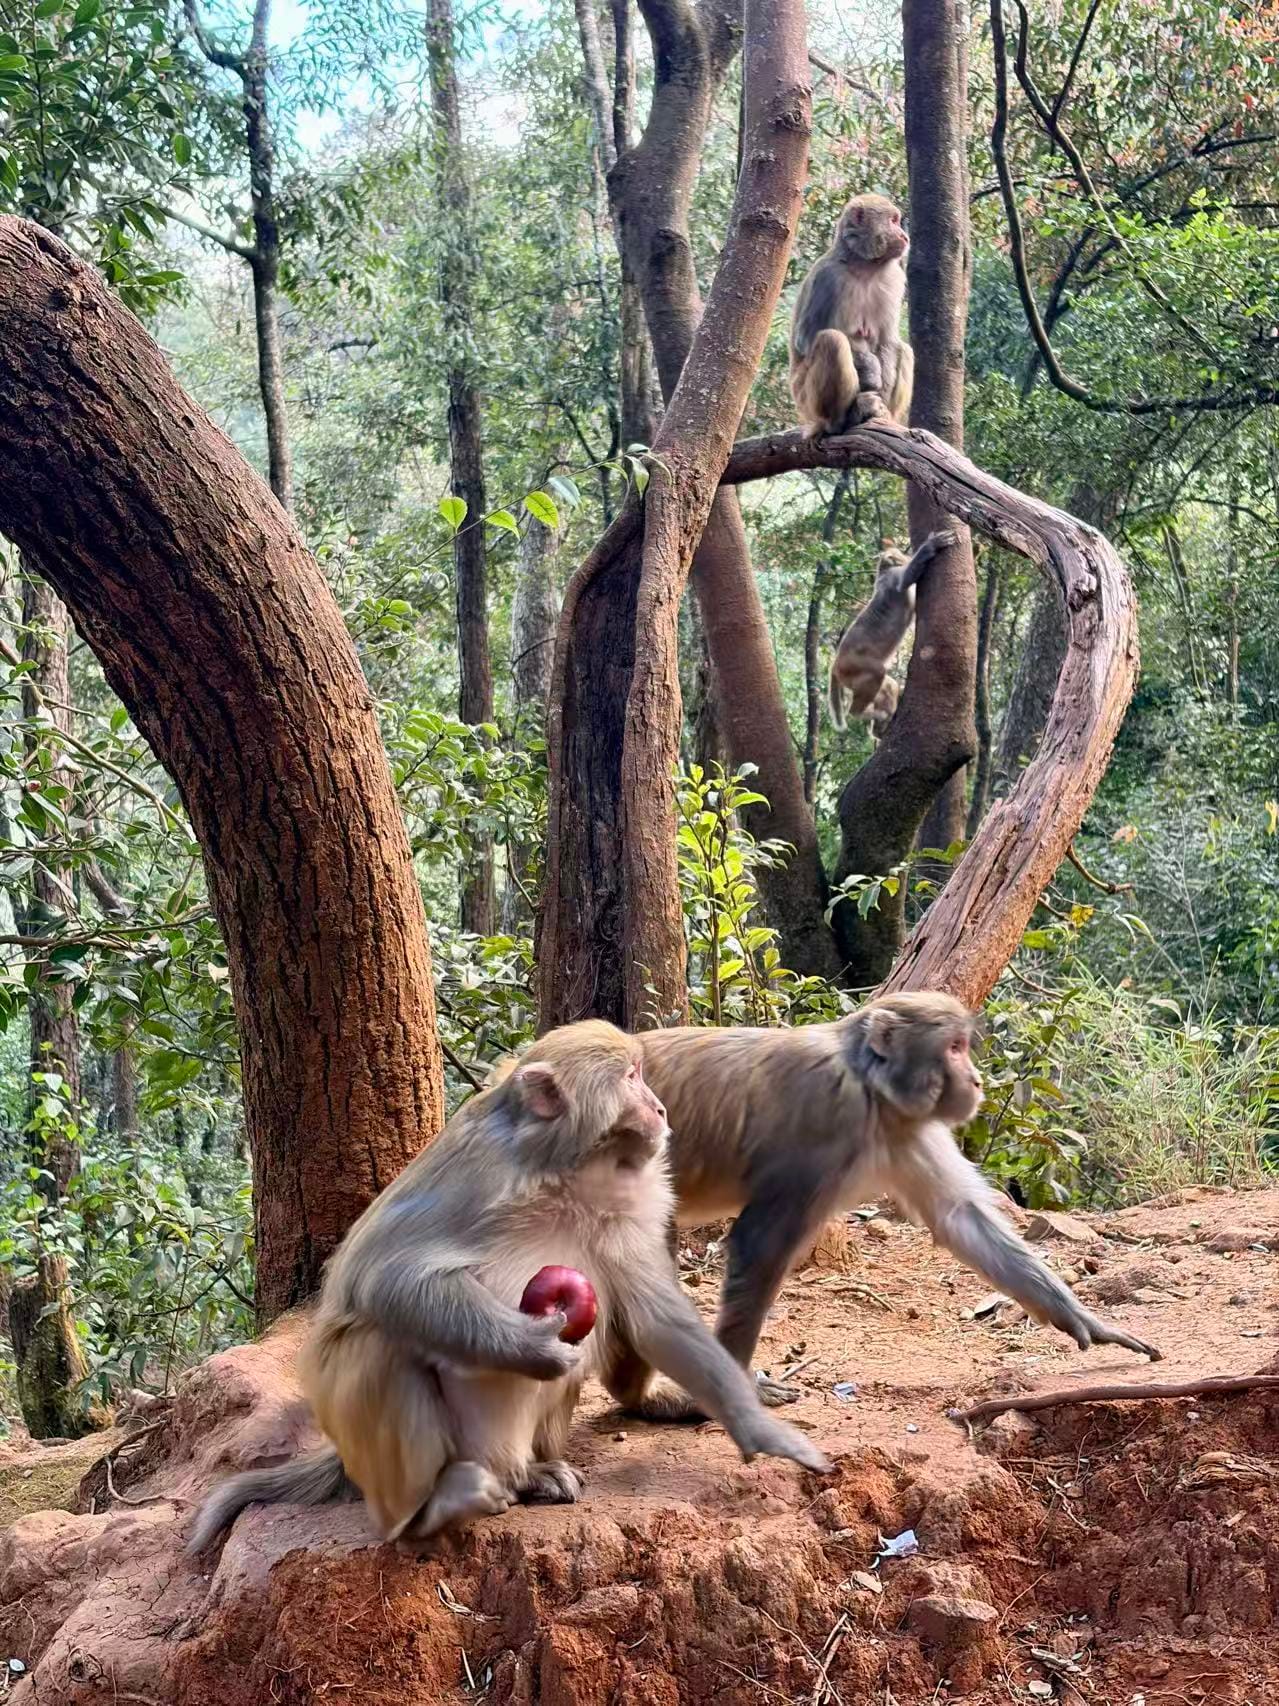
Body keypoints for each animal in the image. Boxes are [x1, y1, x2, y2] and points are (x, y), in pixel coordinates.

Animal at [188, 1020, 830, 1554]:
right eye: (631, 1077)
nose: (660, 1107)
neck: (570, 1168)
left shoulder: (640, 1190)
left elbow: (654, 1315)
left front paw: (754, 1423)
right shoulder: (481, 1167)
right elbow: (383, 1272)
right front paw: (532, 1346)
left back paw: (532, 1474)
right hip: (397, 1448)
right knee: (379, 1342)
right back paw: (430, 1509)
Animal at [601, 994, 1160, 1418]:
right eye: (953, 1048)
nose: (977, 1081)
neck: (869, 1085)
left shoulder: (906, 1128)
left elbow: (961, 1218)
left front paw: (1082, 1318)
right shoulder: (827, 1119)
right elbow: (758, 1246)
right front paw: (739, 1392)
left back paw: (634, 1394)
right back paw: (643, 1396)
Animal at [790, 192, 915, 437]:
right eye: (894, 221)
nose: (905, 236)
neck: (865, 266)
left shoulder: (894, 279)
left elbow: (888, 342)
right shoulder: (827, 277)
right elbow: (806, 339)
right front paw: (870, 371)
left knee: (904, 349)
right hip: (804, 399)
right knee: (831, 340)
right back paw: (838, 421)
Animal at [828, 530, 955, 731]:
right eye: (900, 556)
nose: (907, 556)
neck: (883, 571)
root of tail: (835, 663)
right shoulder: (894, 577)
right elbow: (905, 579)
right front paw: (931, 545)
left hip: (871, 683)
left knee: (889, 686)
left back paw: (881, 725)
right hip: (857, 667)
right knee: (872, 681)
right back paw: (866, 714)